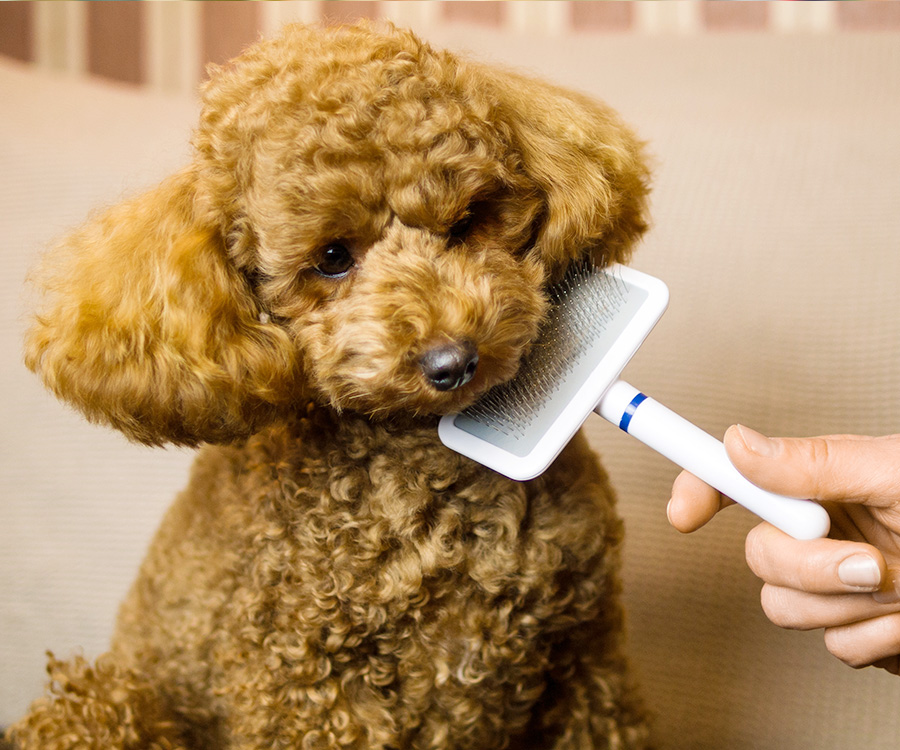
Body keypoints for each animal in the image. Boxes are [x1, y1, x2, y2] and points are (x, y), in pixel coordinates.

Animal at [10, 20, 652, 748]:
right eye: (332, 259)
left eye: (467, 221)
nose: (452, 361)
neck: (436, 483)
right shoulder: (308, 691)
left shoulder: (587, 668)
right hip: (103, 705)